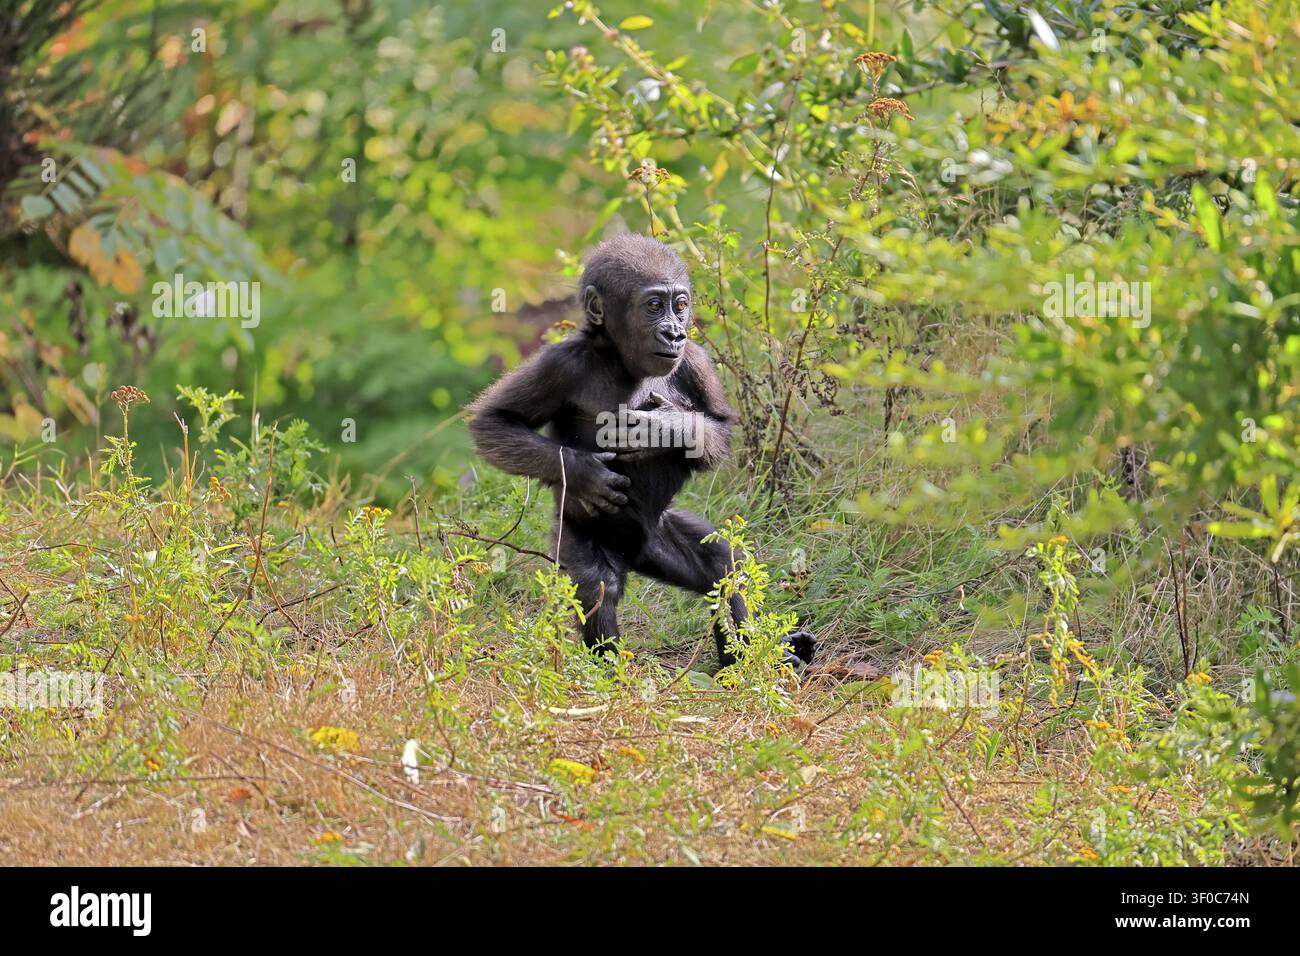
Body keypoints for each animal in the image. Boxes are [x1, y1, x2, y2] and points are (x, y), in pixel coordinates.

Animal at [467, 233, 815, 669]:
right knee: (597, 585)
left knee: (722, 565)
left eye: (680, 306)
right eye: (653, 306)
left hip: (662, 540)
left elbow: (718, 429)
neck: (622, 360)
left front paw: (667, 427)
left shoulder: (696, 361)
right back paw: (611, 673)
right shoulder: (560, 364)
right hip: (581, 533)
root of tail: (638, 554)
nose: (674, 334)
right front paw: (585, 474)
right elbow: (495, 422)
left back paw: (744, 660)